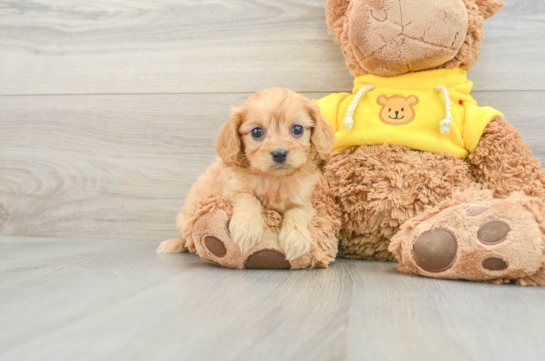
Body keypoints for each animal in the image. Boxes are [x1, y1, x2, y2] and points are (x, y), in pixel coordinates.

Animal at [157, 87, 336, 262]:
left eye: (297, 129)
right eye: (256, 132)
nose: (279, 154)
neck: (273, 179)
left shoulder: (303, 200)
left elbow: (298, 211)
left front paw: (296, 238)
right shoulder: (229, 190)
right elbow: (248, 197)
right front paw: (247, 228)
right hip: (184, 221)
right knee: (186, 241)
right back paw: (175, 244)